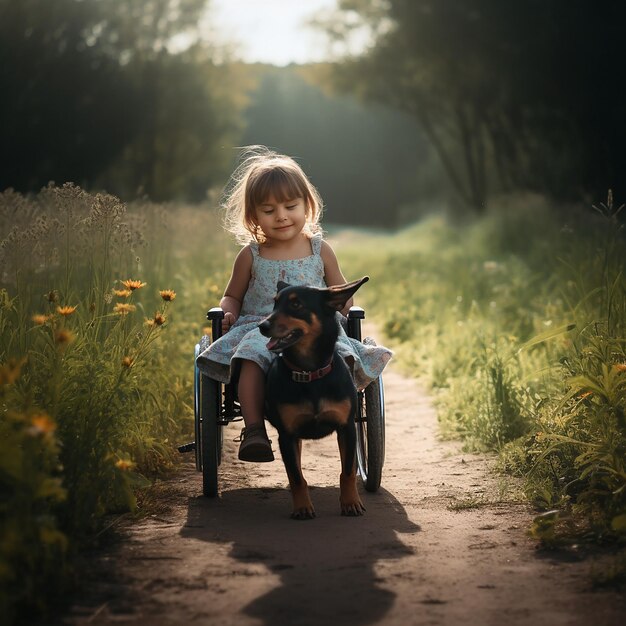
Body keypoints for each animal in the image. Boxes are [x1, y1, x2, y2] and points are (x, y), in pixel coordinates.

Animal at [258, 276, 368, 520]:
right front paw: (302, 507)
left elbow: (347, 471)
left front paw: (351, 502)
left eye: (296, 304)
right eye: (275, 303)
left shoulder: (347, 428)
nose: (262, 326)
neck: (310, 373)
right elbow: (296, 476)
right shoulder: (286, 435)